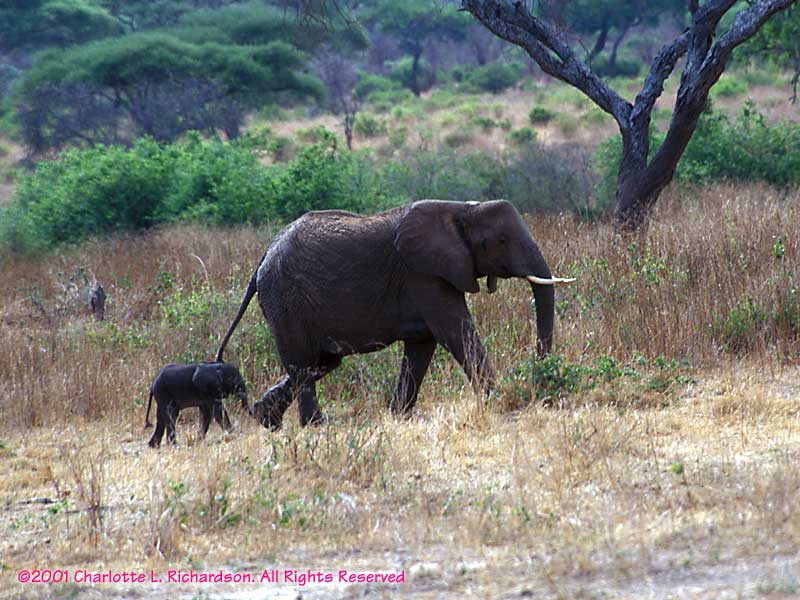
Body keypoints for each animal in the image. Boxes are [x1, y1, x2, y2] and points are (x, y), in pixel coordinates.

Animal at [215, 199, 573, 430]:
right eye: (500, 240)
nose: (540, 374)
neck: (463, 209)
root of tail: (261, 261)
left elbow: (423, 346)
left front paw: (398, 416)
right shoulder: (424, 274)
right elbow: (455, 332)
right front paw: (499, 401)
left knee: (321, 362)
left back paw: (266, 418)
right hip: (285, 299)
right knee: (304, 365)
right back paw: (314, 427)